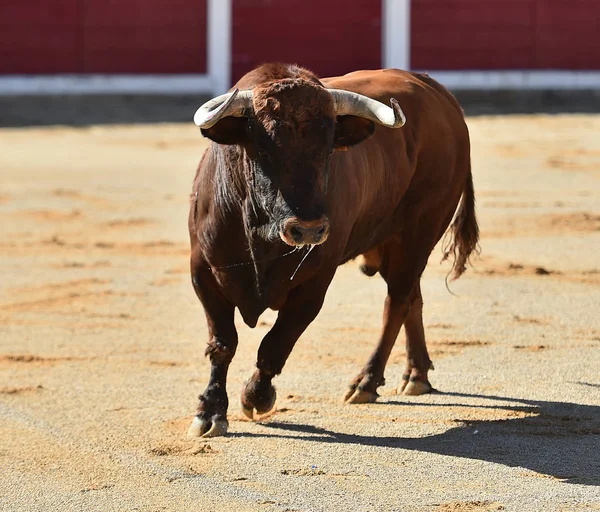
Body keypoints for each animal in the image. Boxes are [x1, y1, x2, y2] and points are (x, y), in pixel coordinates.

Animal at [188, 62, 478, 438]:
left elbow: (276, 343)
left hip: (419, 233)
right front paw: (209, 411)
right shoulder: (204, 272)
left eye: (327, 151)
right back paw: (416, 375)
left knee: (397, 302)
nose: (309, 228)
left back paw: (367, 381)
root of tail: (437, 92)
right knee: (412, 297)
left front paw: (256, 396)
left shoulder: (315, 283)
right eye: (263, 152)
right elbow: (222, 343)